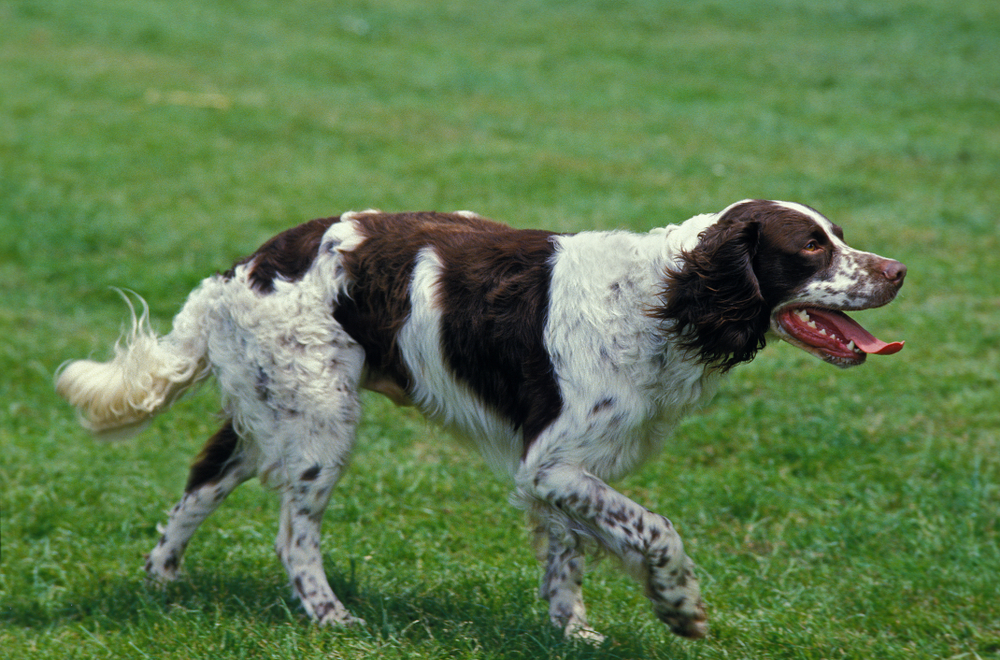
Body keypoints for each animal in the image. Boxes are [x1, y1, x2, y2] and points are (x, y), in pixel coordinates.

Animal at [58, 200, 912, 640]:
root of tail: (239, 270)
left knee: (200, 481)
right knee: (293, 535)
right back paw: (332, 617)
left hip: (276, 411)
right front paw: (678, 606)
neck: (663, 299)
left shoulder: (565, 473)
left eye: (838, 236)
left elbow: (575, 558)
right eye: (810, 246)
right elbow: (656, 529)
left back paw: (162, 580)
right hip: (322, 423)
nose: (899, 271)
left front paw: (580, 633)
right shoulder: (552, 463)